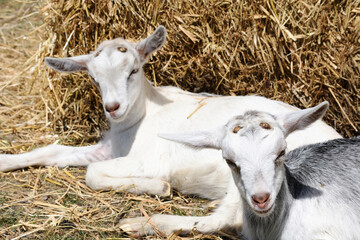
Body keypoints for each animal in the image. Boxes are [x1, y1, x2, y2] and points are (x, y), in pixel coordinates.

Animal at [0, 25, 340, 202]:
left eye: (133, 70)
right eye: (94, 79)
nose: (113, 108)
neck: (138, 121)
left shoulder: (147, 159)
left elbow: (93, 174)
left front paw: (158, 187)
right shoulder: (108, 148)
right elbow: (53, 151)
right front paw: (6, 160)